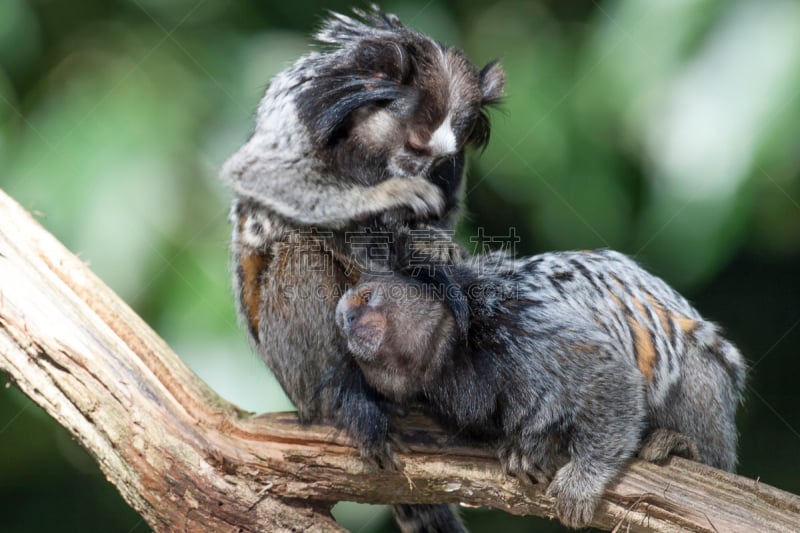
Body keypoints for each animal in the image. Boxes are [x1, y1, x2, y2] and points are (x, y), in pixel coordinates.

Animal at [222, 7, 504, 532]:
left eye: (436, 159)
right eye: (413, 147)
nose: (415, 170)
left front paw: (431, 251)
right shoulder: (304, 110)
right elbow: (262, 176)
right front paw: (387, 199)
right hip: (293, 370)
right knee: (302, 251)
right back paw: (347, 401)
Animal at [334, 249, 748, 528]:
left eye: (366, 298)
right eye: (343, 318)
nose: (348, 319)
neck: (454, 348)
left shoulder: (514, 318)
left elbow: (608, 373)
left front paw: (582, 479)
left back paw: (684, 445)